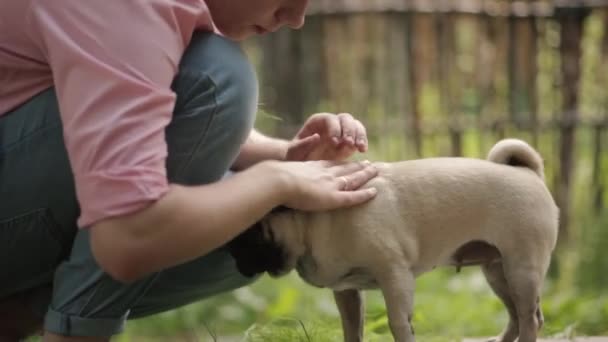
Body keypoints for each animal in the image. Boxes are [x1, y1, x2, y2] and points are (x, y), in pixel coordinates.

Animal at [227, 139, 556, 342]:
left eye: (250, 237)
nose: (234, 258)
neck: (319, 220)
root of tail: (529, 173)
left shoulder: (395, 276)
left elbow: (398, 324)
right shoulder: (347, 292)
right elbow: (352, 329)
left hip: (521, 269)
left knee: (530, 319)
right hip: (497, 271)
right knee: (516, 314)